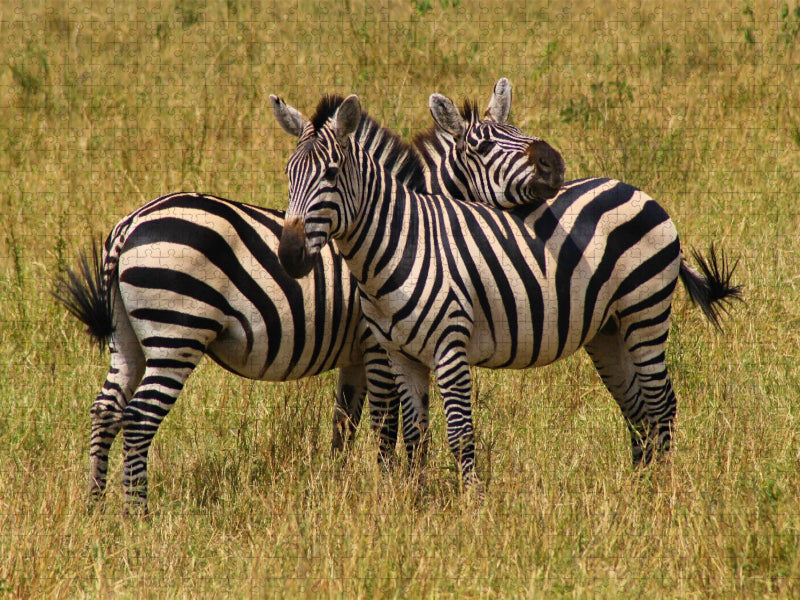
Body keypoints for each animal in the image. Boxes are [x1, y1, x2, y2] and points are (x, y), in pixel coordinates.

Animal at [55, 79, 565, 512]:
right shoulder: (377, 345)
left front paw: (339, 486)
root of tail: (129, 225)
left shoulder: (355, 356)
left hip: (128, 338)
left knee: (106, 409)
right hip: (176, 334)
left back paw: (94, 507)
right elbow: (387, 424)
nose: (554, 164)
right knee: (138, 418)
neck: (407, 227)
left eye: (518, 132)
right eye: (484, 148)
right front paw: (391, 487)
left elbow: (345, 424)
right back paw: (135, 515)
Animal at [273, 93, 742, 489]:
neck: (401, 242)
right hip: (608, 330)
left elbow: (455, 434)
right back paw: (640, 490)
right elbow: (414, 435)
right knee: (638, 408)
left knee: (662, 405)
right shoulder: (399, 354)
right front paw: (413, 503)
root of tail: (635, 190)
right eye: (288, 176)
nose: (290, 254)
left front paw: (471, 507)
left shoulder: (446, 347)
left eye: (332, 174)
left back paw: (663, 493)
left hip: (645, 311)